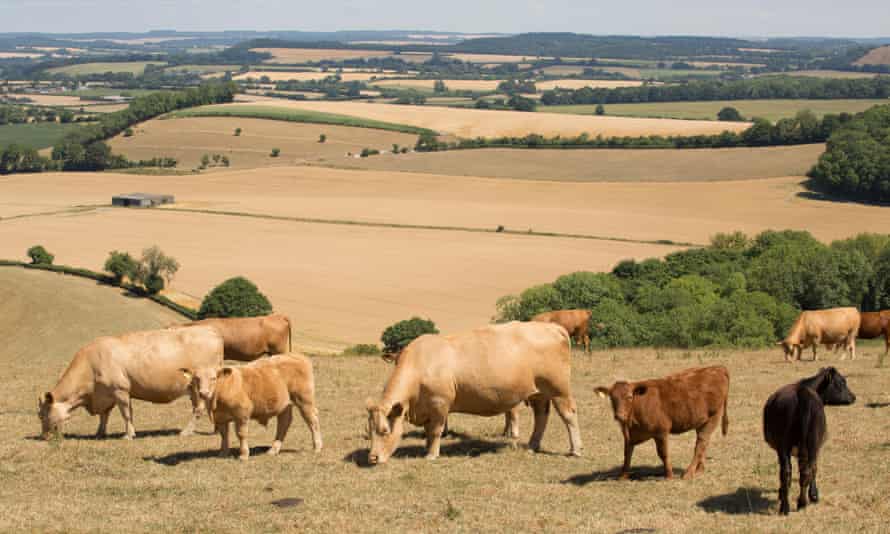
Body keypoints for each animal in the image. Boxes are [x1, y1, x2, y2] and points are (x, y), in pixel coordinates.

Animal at [38, 328, 224, 442]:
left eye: (41, 415)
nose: (44, 436)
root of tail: (211, 331)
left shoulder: (120, 390)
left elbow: (126, 413)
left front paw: (128, 435)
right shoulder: (105, 394)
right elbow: (104, 415)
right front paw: (99, 433)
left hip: (200, 385)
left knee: (199, 409)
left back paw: (186, 432)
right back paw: (216, 430)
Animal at [179, 356, 320, 460]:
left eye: (213, 378)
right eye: (197, 378)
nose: (204, 393)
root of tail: (298, 356)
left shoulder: (242, 413)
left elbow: (241, 434)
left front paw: (243, 455)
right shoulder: (221, 418)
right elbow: (224, 435)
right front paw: (223, 453)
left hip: (305, 400)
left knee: (312, 421)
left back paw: (317, 447)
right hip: (285, 405)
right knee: (284, 423)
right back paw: (273, 450)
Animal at [364, 322, 580, 464]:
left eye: (384, 431)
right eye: (369, 431)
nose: (372, 458)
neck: (422, 363)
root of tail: (553, 327)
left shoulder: (440, 405)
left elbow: (435, 431)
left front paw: (431, 454)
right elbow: (428, 431)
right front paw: (426, 448)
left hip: (559, 390)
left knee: (569, 415)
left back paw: (575, 449)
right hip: (538, 393)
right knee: (541, 417)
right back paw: (532, 446)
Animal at [764, 368, 852, 516]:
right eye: (841, 382)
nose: (853, 397)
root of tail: (802, 393)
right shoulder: (816, 448)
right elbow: (814, 468)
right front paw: (814, 495)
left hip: (786, 446)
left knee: (788, 472)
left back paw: (786, 507)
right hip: (805, 445)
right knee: (803, 470)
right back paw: (800, 503)